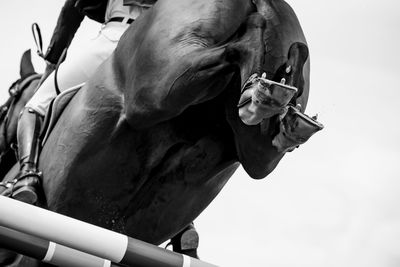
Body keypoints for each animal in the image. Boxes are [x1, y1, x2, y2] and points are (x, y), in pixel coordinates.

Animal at [2, 0, 324, 266]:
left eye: (9, 99)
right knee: (263, 150)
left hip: (156, 89)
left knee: (234, 48)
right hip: (251, 144)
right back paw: (280, 104)